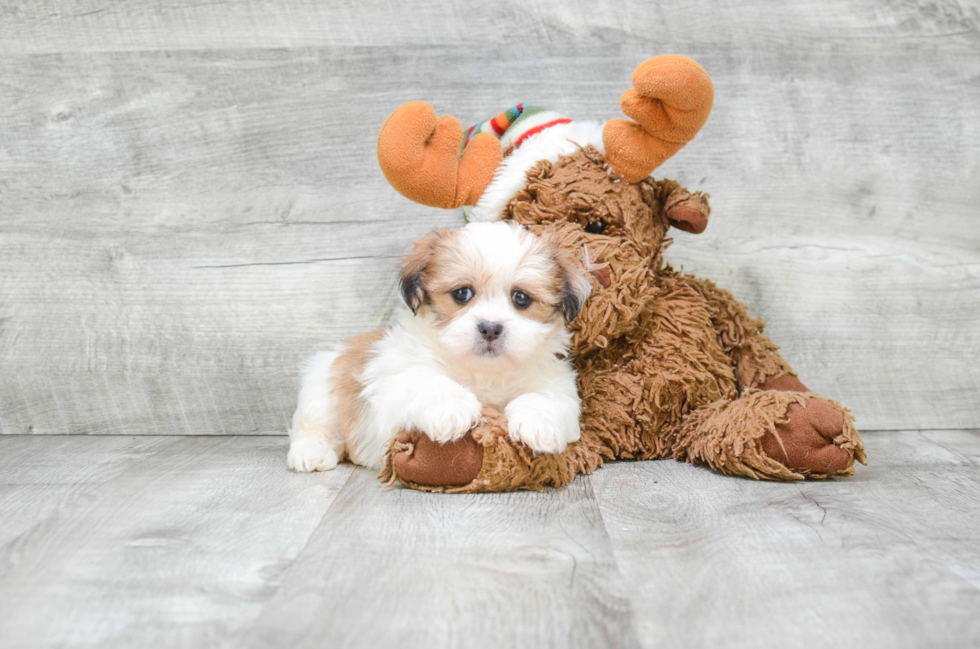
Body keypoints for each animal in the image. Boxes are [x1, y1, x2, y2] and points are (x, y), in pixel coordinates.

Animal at [284, 219, 588, 470]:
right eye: (462, 293)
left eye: (521, 298)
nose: (490, 327)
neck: (484, 372)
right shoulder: (395, 379)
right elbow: (427, 381)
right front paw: (452, 408)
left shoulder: (557, 383)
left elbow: (548, 398)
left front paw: (539, 423)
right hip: (321, 393)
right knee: (314, 427)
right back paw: (311, 453)